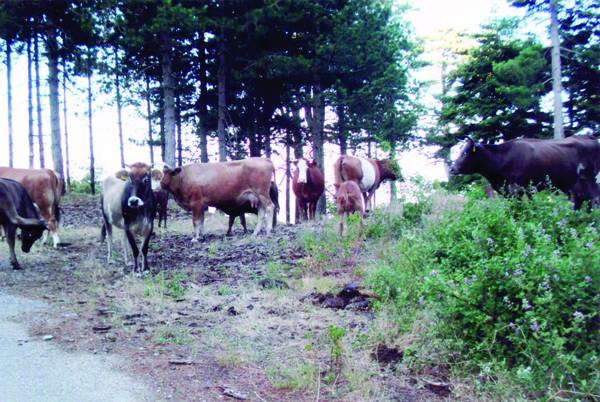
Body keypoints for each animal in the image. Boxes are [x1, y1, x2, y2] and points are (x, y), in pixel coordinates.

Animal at [450, 136, 600, 209]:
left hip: (589, 178)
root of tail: (589, 137)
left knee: (593, 198)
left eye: (465, 153)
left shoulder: (518, 187)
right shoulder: (519, 190)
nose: (452, 168)